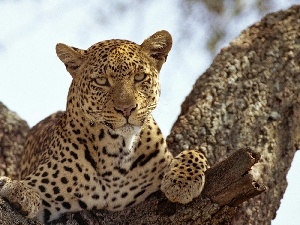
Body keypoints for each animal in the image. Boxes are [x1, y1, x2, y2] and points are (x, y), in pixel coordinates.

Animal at [0, 29, 209, 223]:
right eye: (101, 81)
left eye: (139, 77)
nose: (126, 109)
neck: (117, 152)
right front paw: (19, 190)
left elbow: (195, 152)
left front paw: (181, 183)